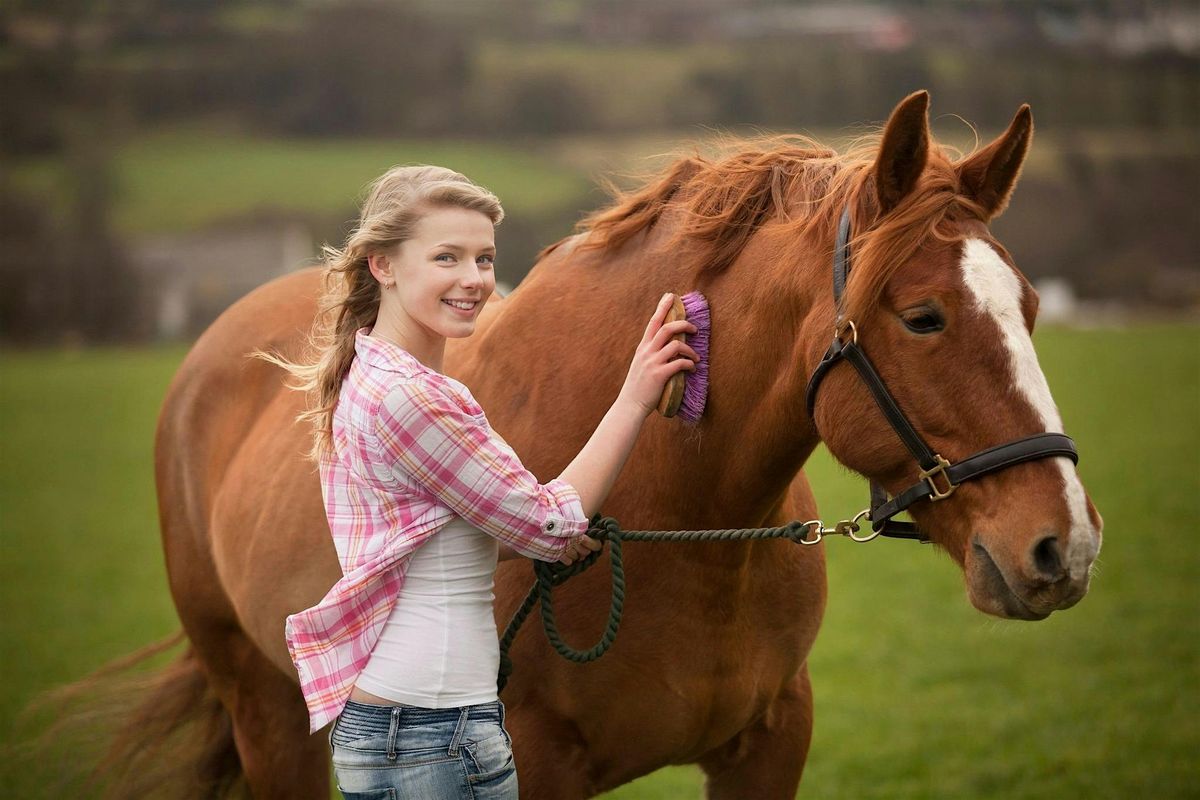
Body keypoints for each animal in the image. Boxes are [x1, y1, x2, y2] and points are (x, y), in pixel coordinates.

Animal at [102, 91, 1100, 798]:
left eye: (1031, 307)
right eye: (924, 316)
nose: (1066, 545)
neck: (684, 522)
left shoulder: (770, 743)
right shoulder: (535, 763)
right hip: (266, 713)